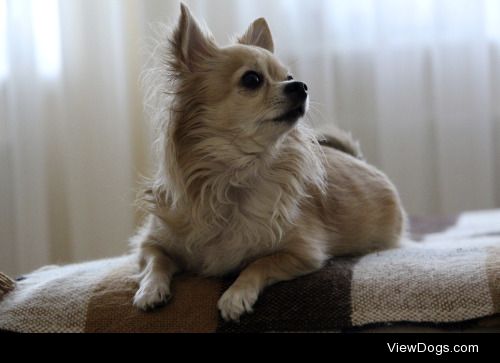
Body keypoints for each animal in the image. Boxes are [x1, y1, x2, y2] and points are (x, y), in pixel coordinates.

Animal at [132, 2, 406, 322]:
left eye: (288, 77)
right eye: (252, 79)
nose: (301, 85)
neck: (232, 177)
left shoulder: (304, 253)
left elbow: (258, 263)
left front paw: (235, 295)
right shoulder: (150, 243)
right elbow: (156, 261)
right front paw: (150, 290)